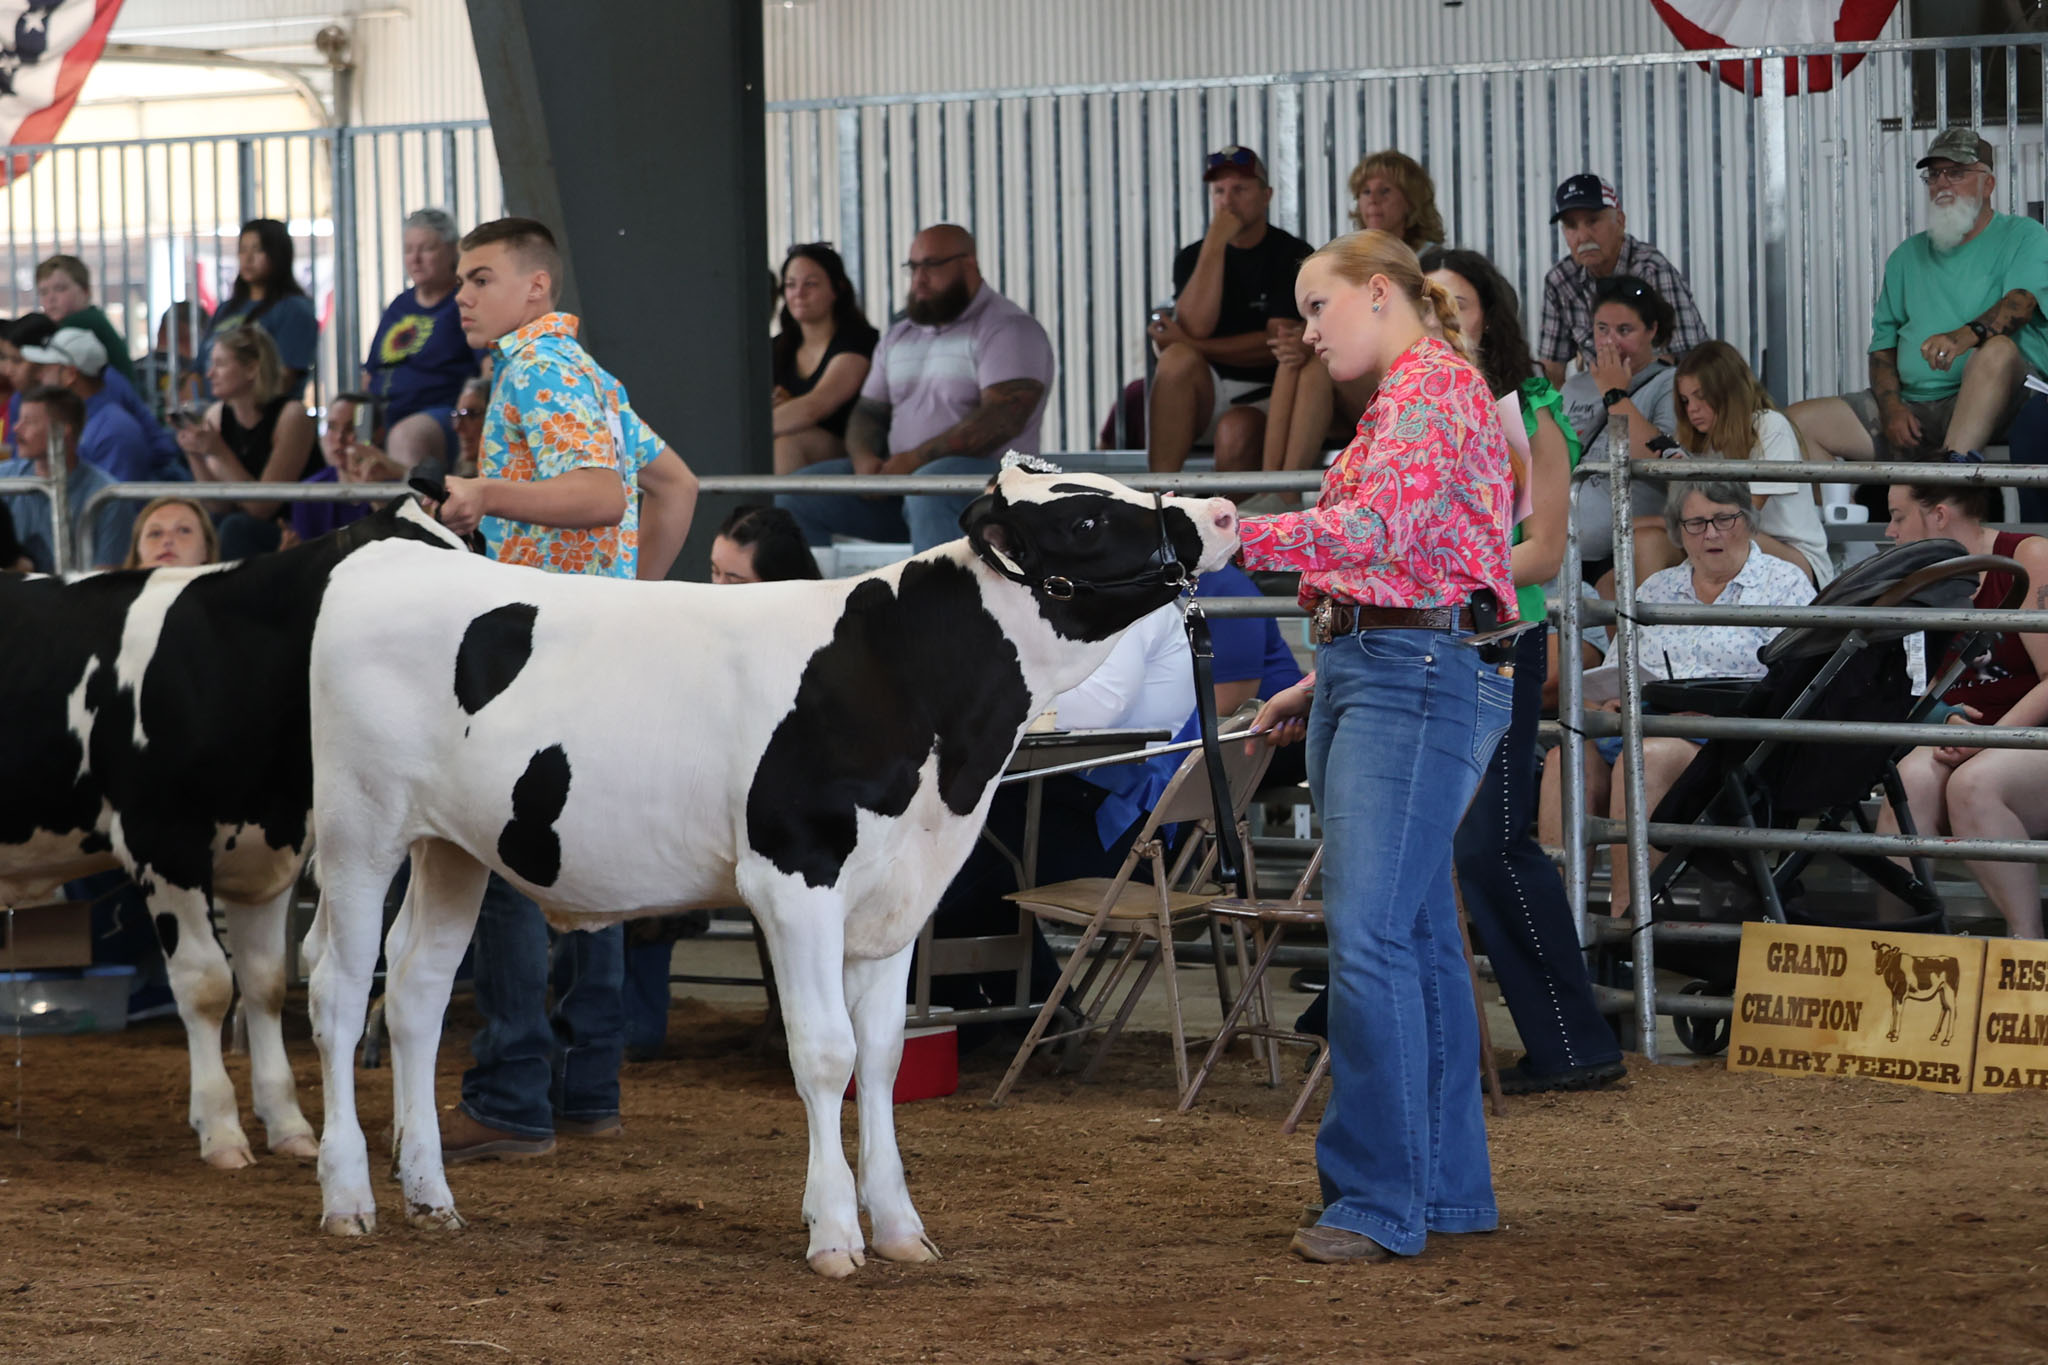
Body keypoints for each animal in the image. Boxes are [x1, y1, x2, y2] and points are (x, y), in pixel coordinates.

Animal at [0, 498, 464, 1167]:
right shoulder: (161, 842)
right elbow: (207, 985)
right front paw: (220, 1131)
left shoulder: (265, 854)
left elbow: (264, 983)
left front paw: (288, 1124)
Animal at [300, 466, 1240, 1274]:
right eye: (1084, 521)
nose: (1224, 512)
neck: (910, 683)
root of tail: (385, 555)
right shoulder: (795, 877)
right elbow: (826, 1051)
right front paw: (834, 1232)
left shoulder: (898, 894)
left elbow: (882, 1054)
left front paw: (900, 1228)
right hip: (357, 829)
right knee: (338, 990)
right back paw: (347, 1196)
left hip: (452, 846)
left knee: (416, 991)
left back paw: (430, 1196)